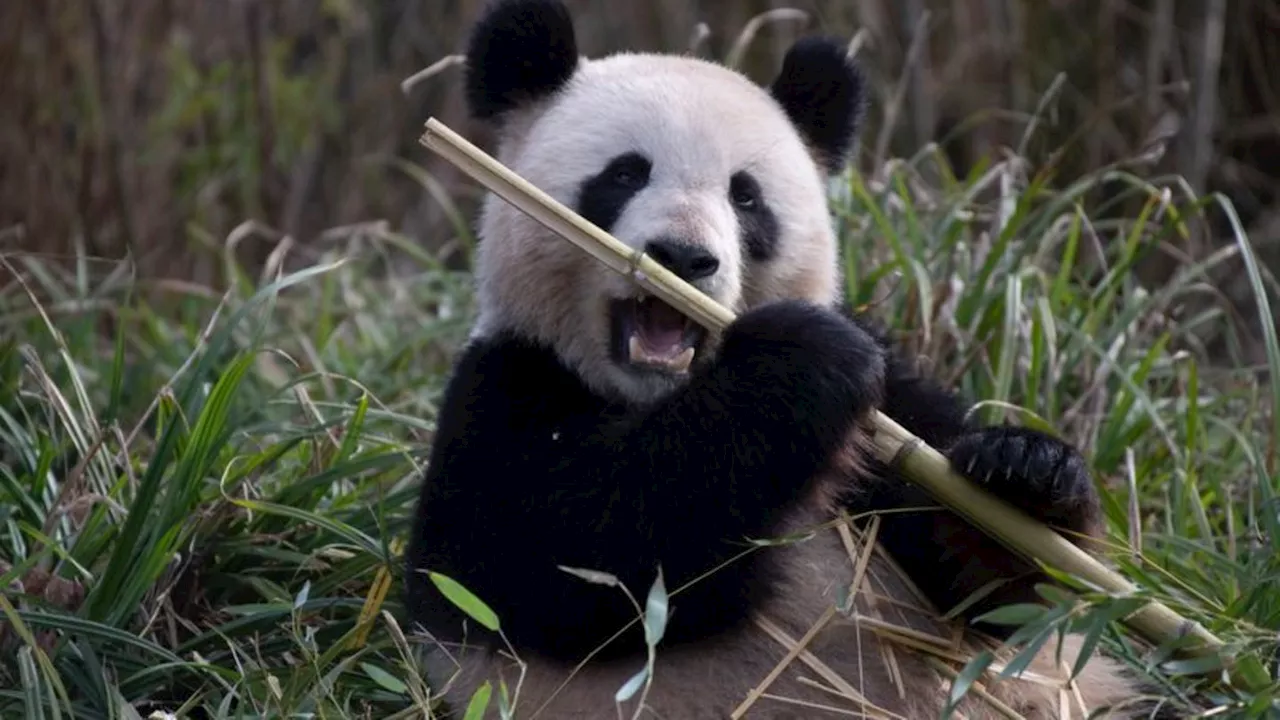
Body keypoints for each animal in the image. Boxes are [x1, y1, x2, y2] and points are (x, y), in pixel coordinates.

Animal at [407, 2, 1162, 712]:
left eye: (746, 196)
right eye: (624, 174)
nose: (683, 257)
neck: (658, 395)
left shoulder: (894, 412)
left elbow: (991, 599)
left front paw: (1023, 473)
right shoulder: (505, 388)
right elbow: (564, 561)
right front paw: (800, 361)